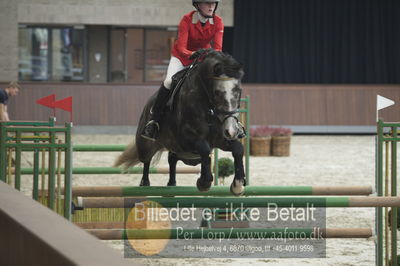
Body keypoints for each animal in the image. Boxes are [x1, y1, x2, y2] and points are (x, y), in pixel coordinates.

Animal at [115, 51, 245, 195]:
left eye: (239, 91)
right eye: (217, 93)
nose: (231, 131)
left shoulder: (218, 138)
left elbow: (238, 148)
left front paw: (238, 185)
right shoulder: (185, 139)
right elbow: (204, 148)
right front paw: (204, 182)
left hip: (181, 153)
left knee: (172, 159)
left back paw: (172, 184)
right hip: (146, 146)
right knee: (146, 161)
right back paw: (145, 183)